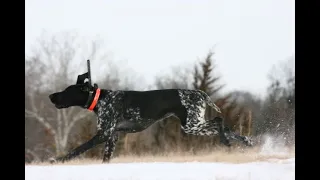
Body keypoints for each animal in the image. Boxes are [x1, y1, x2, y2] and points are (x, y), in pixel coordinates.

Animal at [48, 76, 252, 163]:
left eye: (67, 91)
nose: (51, 96)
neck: (100, 99)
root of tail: (200, 93)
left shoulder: (103, 134)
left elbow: (78, 149)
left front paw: (59, 160)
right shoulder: (112, 137)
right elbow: (106, 158)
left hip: (192, 124)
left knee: (219, 121)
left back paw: (226, 141)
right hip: (195, 124)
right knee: (228, 129)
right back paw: (246, 141)